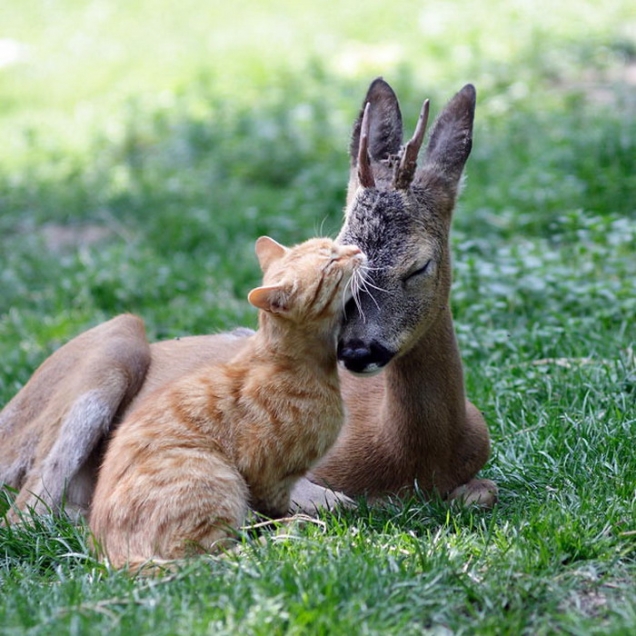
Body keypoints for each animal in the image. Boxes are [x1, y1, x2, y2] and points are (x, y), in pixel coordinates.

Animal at [0, 77, 496, 520]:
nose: (357, 350)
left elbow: (483, 491)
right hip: (111, 346)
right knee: (30, 510)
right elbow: (327, 500)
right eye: (341, 251)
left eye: (418, 267)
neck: (410, 455)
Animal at [90, 236, 368, 568]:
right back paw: (283, 534)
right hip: (215, 475)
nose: (358, 250)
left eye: (333, 244)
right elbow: (274, 507)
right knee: (207, 556)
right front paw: (287, 522)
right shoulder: (266, 474)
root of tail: (113, 559)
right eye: (331, 263)